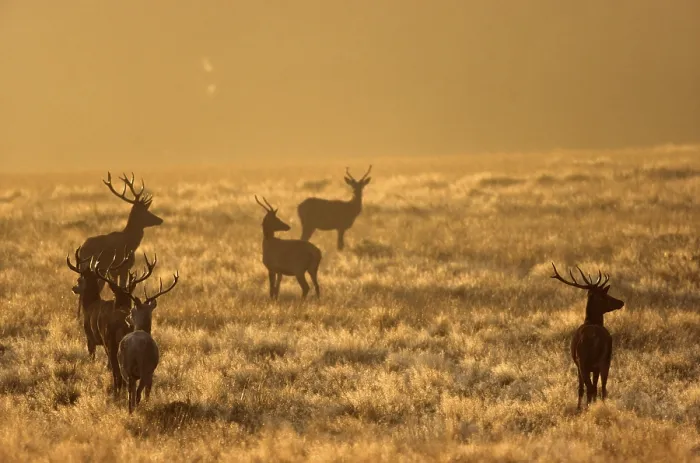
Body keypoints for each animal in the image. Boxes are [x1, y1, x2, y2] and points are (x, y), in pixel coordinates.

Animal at [118, 270, 179, 414]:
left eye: (131, 311)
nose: (127, 318)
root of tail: (133, 348)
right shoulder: (151, 371)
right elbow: (147, 392)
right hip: (145, 368)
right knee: (138, 392)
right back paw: (139, 409)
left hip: (125, 368)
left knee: (130, 392)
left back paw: (131, 411)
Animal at [551, 263, 624, 410]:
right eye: (605, 296)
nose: (621, 302)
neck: (590, 321)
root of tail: (595, 337)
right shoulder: (594, 368)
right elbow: (595, 386)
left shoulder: (579, 364)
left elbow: (581, 388)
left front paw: (580, 407)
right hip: (605, 360)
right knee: (602, 388)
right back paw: (599, 406)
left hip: (583, 361)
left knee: (589, 387)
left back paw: (586, 408)